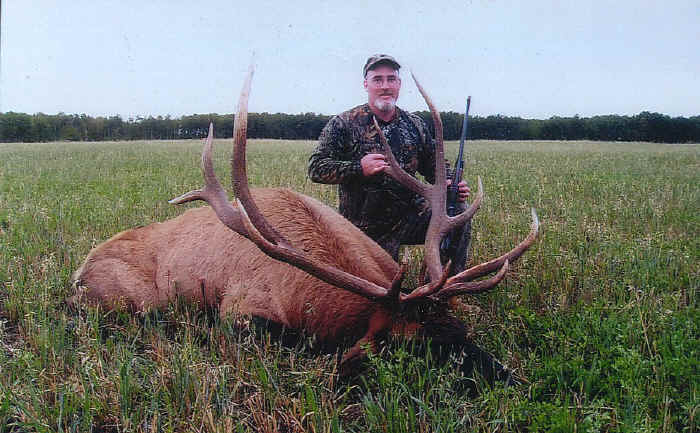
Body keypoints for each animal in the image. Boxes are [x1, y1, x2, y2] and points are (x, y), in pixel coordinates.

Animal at [70, 64, 539, 383]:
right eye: (421, 346)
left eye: (462, 330)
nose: (509, 378)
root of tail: (77, 272)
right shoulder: (239, 311)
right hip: (123, 300)